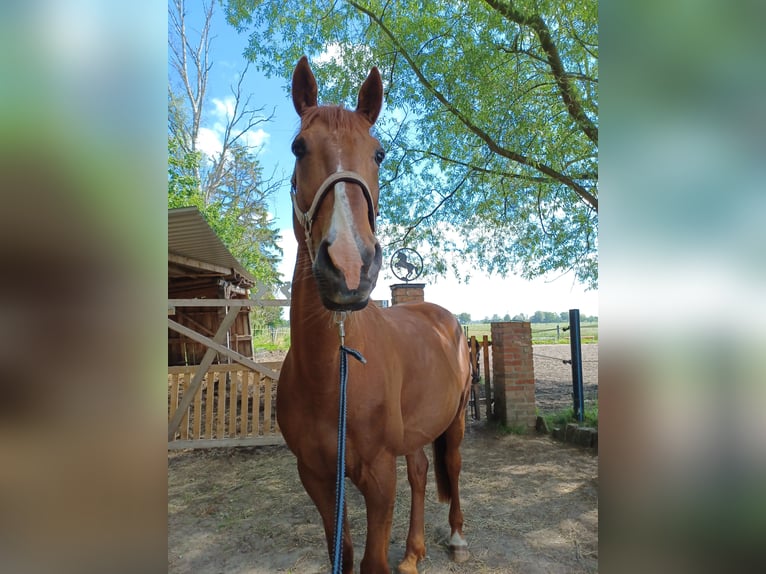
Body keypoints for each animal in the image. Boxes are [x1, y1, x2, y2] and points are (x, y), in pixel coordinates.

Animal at [280, 57, 472, 574]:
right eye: (298, 147)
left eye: (380, 154)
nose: (350, 266)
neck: (333, 375)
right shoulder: (319, 479)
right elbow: (342, 553)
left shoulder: (379, 476)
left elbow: (370, 562)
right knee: (422, 472)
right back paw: (413, 552)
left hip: (456, 420)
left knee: (451, 467)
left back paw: (455, 536)